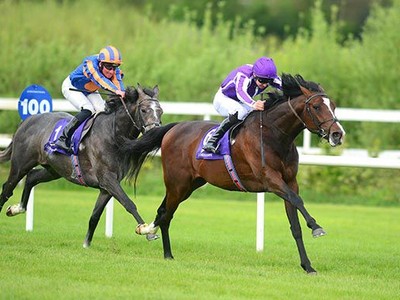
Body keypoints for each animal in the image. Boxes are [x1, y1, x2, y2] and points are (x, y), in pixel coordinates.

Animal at [0, 84, 162, 246]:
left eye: (160, 111)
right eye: (144, 110)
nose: (154, 131)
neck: (114, 135)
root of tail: (27, 120)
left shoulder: (107, 187)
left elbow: (95, 216)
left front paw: (86, 245)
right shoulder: (107, 179)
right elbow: (128, 203)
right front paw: (146, 230)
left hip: (55, 170)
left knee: (32, 177)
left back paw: (16, 209)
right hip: (21, 165)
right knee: (7, 188)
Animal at [124, 74, 344, 274]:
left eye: (333, 106)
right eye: (316, 106)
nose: (337, 134)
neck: (274, 135)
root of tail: (174, 128)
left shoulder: (290, 181)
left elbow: (295, 225)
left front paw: (308, 266)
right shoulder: (270, 179)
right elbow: (298, 200)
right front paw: (316, 227)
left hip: (189, 185)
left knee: (164, 212)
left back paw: (159, 244)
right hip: (177, 184)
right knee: (166, 214)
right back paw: (157, 242)